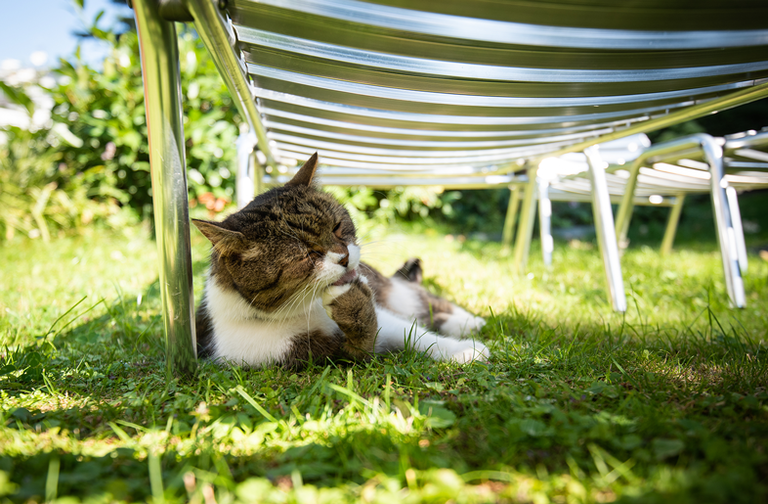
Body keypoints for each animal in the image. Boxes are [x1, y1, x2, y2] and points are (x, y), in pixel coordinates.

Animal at [194, 152, 492, 368]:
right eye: (307, 254)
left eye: (337, 227)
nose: (345, 257)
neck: (303, 309)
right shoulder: (323, 356)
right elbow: (364, 345)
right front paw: (354, 308)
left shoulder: (386, 315)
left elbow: (415, 334)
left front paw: (462, 350)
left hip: (395, 292)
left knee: (421, 301)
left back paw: (468, 322)